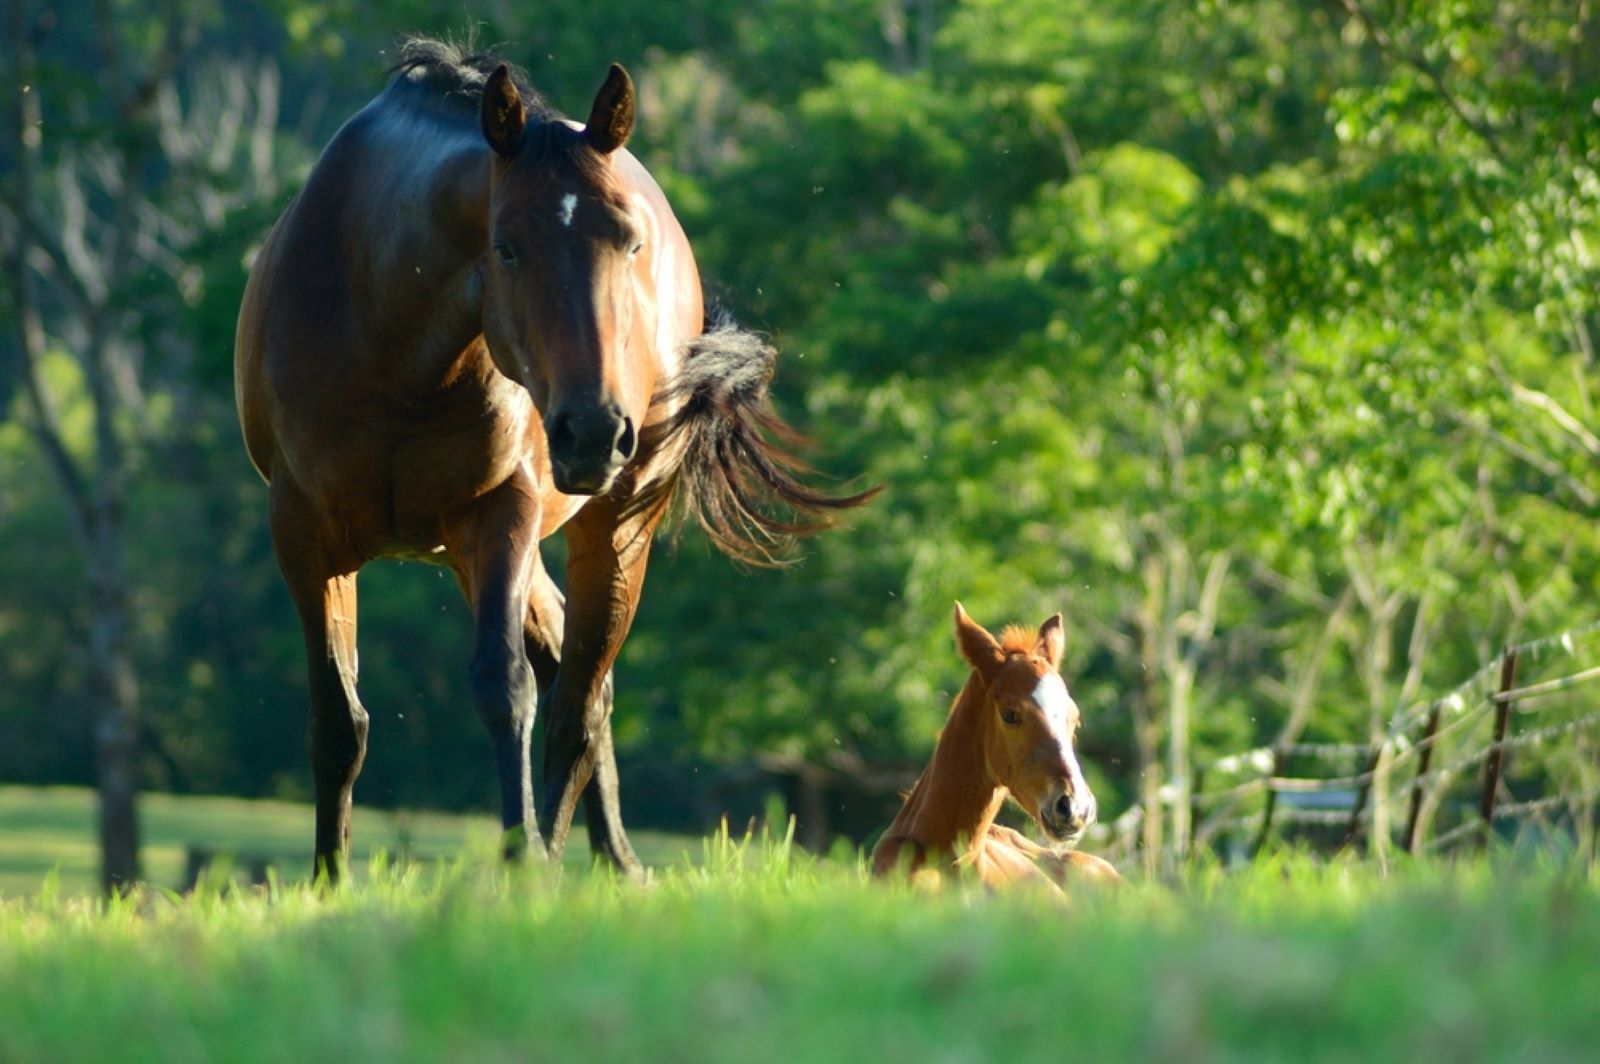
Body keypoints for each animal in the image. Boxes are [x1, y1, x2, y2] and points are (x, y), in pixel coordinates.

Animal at [234, 38, 873, 881]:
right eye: (506, 246)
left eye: (629, 242)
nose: (594, 431)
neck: (389, 345)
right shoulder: (305, 532)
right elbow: (340, 720)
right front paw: (328, 883)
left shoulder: (501, 512)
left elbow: (505, 689)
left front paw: (523, 859)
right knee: (569, 668)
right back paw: (611, 859)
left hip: (609, 526)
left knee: (579, 702)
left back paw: (569, 862)